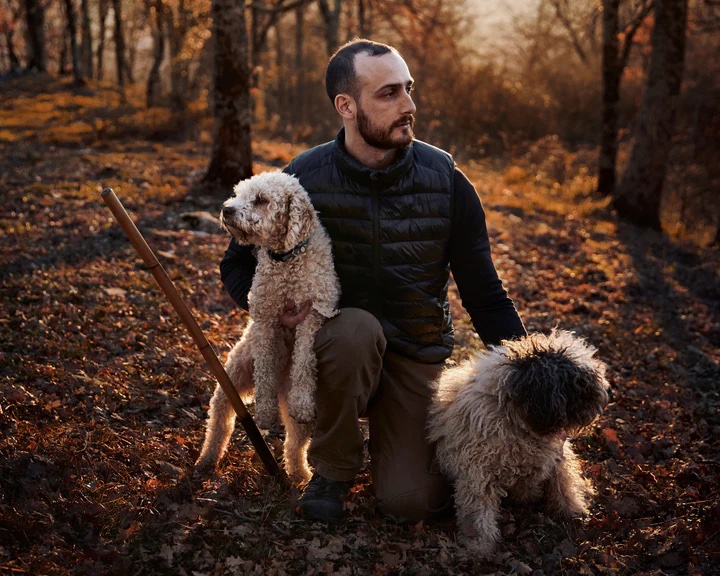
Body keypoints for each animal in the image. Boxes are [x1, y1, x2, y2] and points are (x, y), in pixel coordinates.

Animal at [194, 172, 340, 486]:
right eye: (238, 193)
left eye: (262, 199)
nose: (227, 209)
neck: (287, 259)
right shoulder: (264, 319)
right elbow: (264, 370)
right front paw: (264, 413)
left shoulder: (313, 315)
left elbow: (304, 362)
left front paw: (301, 399)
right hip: (232, 379)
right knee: (219, 422)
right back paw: (207, 459)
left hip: (299, 418)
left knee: (295, 443)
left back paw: (299, 474)